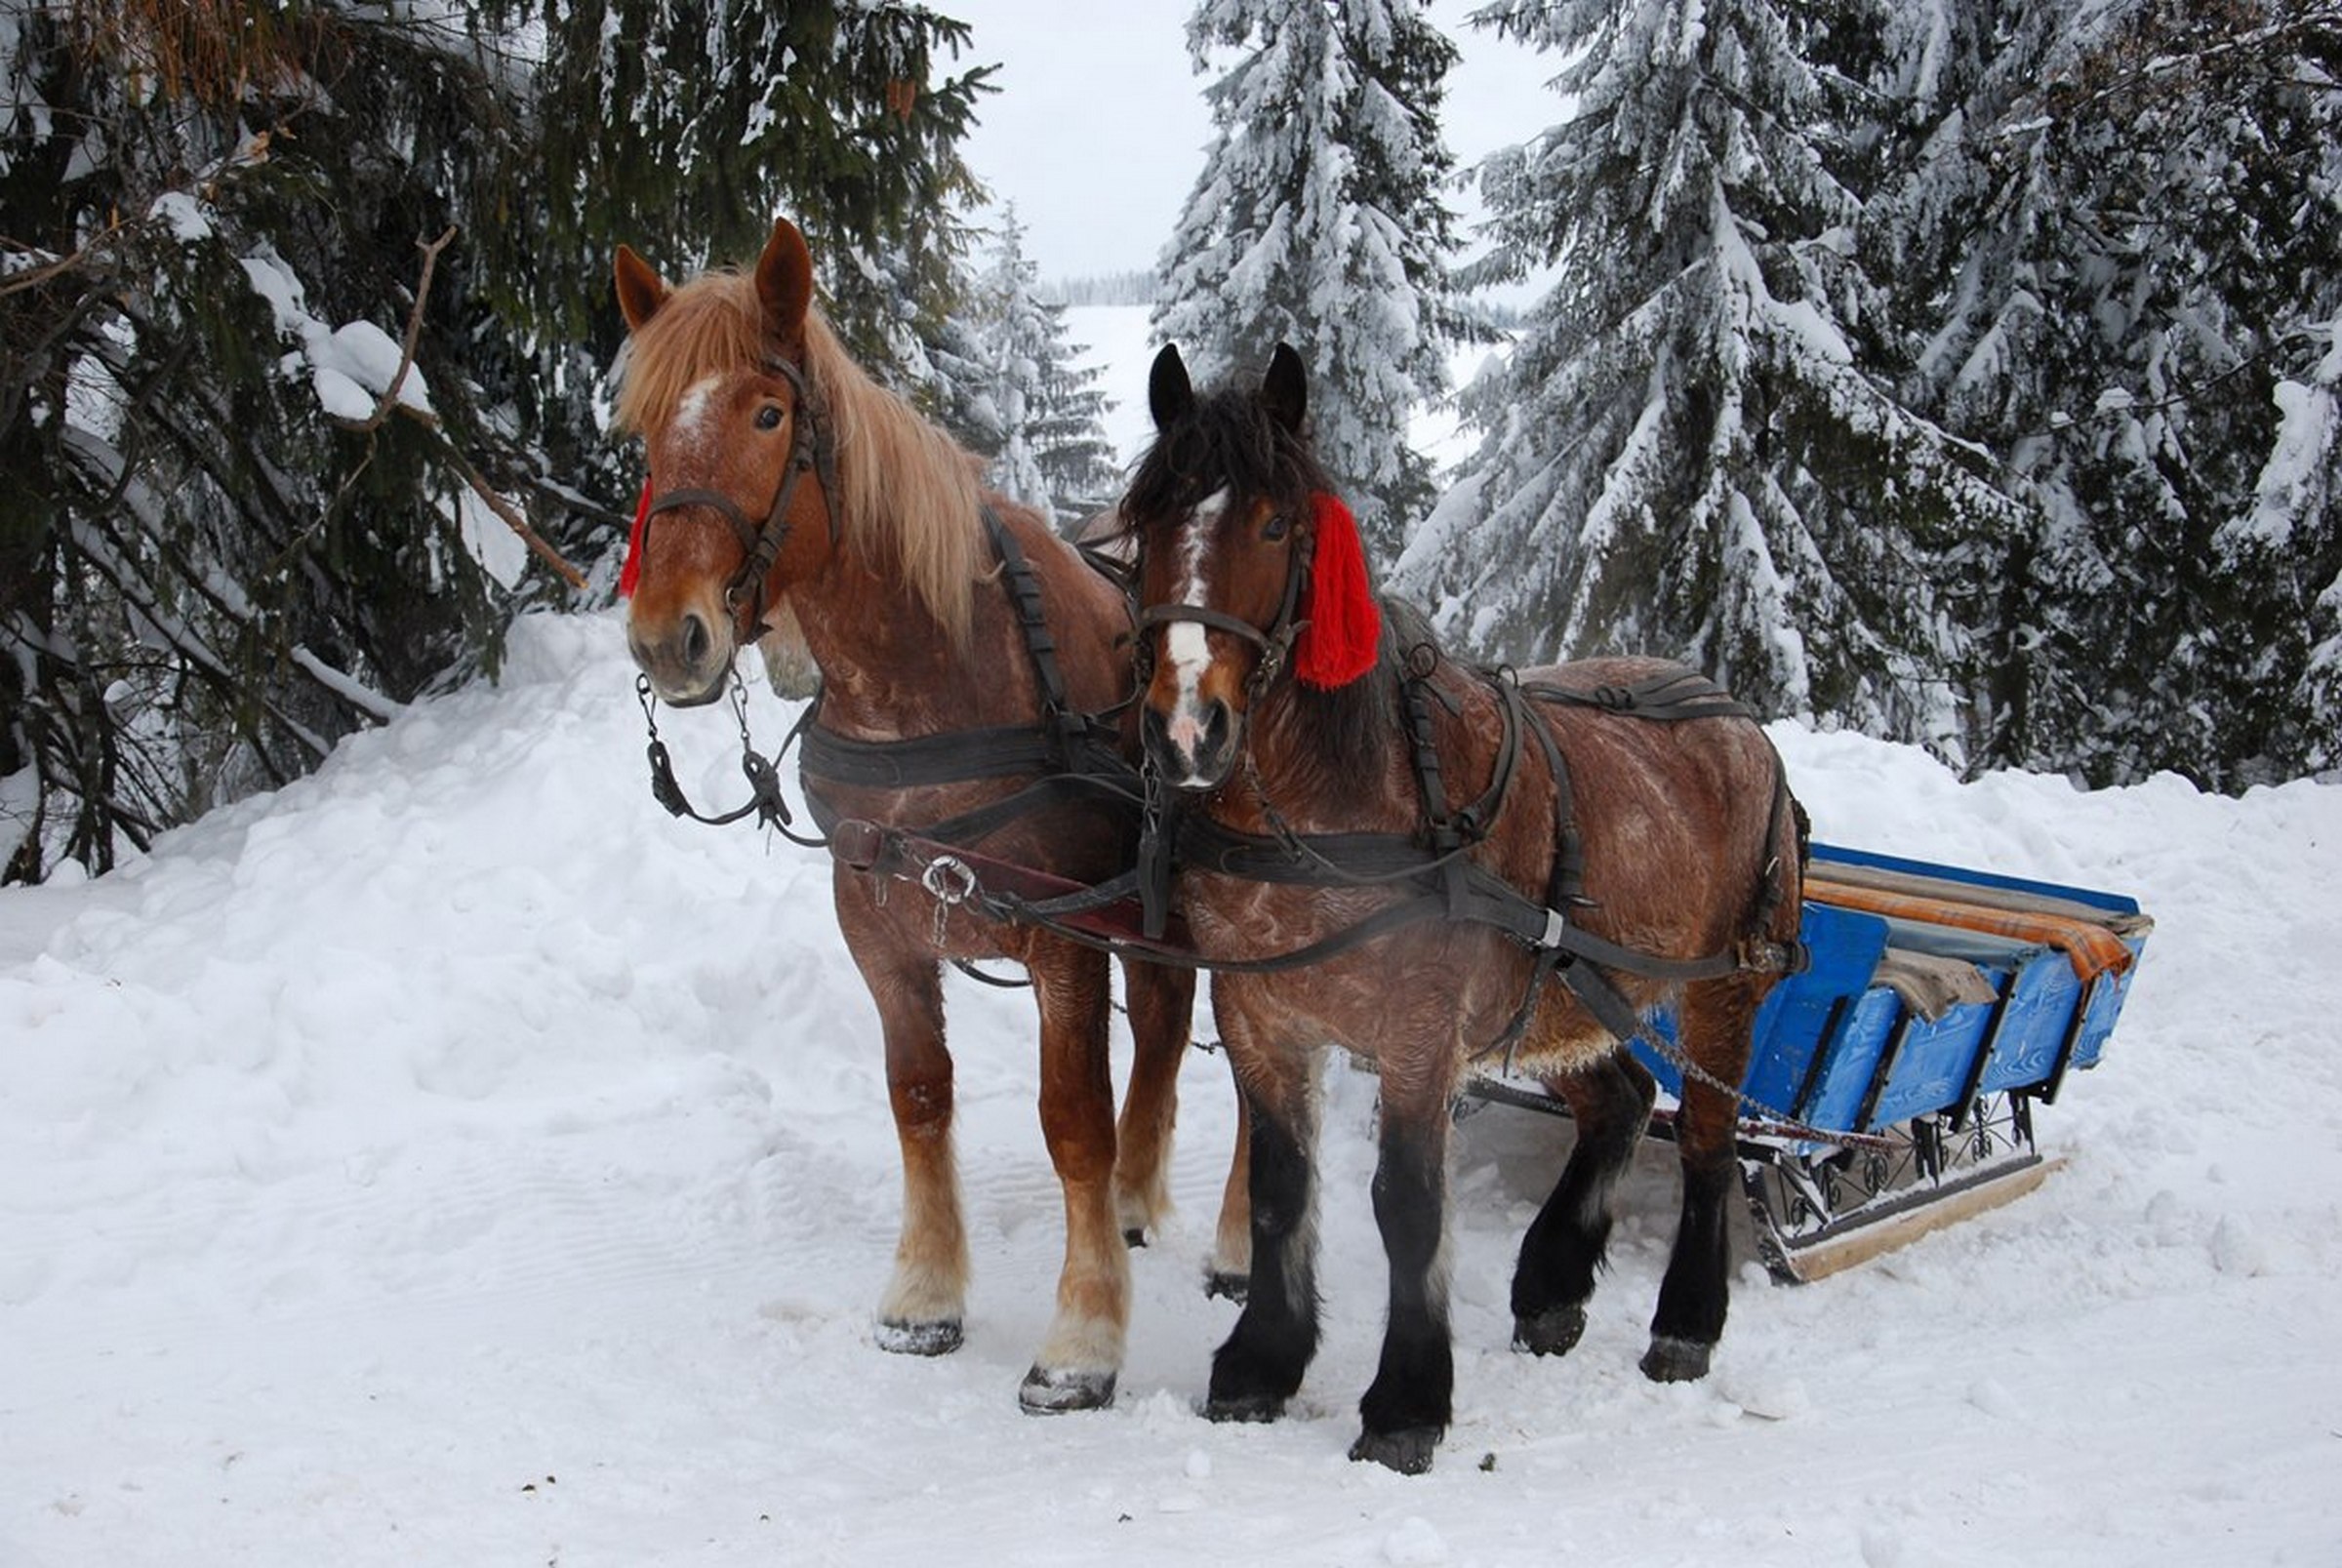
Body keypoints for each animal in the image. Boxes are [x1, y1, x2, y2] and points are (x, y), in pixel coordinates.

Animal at [613, 218, 1255, 1413]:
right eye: (645, 426)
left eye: (767, 415)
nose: (667, 636)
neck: (936, 674)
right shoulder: (878, 925)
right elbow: (918, 1093)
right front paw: (923, 1294)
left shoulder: (1060, 938)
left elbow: (1069, 1123)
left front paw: (1082, 1338)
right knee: (1162, 1023)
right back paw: (1140, 1198)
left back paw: (1238, 1242)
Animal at [1124, 342, 1798, 1478]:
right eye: (1149, 520)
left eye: (1274, 523)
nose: (1186, 731)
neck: (1348, 798)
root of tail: (1735, 714)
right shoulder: (1263, 1016)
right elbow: (1279, 1187)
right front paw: (1263, 1362)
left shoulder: (1419, 1031)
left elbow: (1406, 1203)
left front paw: (1405, 1401)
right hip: (1569, 994)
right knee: (1621, 1101)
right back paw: (1552, 1286)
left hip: (1725, 991)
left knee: (1707, 1138)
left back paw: (1686, 1323)